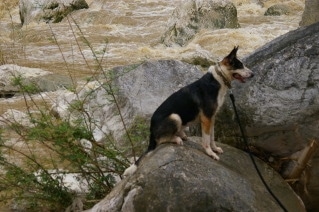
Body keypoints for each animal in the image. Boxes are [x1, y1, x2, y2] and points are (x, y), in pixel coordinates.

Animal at [124, 46, 254, 177]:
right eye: (240, 65)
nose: (253, 74)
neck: (218, 78)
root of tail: (151, 130)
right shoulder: (206, 118)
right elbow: (206, 139)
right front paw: (210, 153)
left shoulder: (212, 118)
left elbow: (211, 137)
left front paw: (215, 149)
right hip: (175, 117)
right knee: (160, 140)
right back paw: (176, 139)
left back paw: (181, 135)